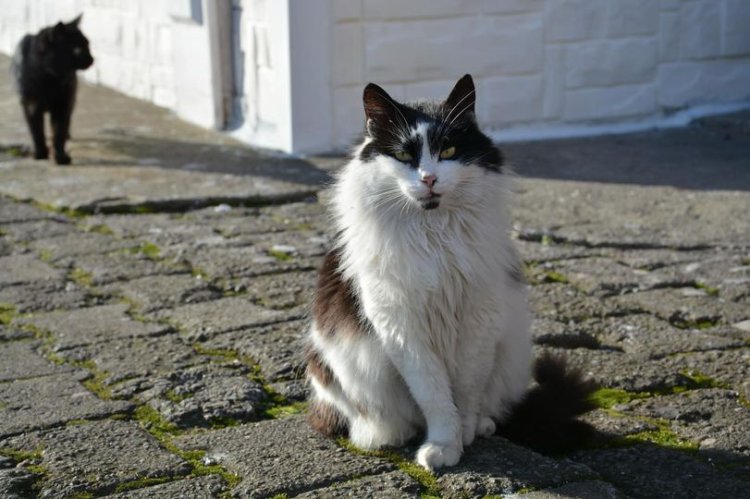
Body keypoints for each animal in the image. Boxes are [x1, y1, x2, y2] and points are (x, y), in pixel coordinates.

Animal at [10, 14, 93, 164]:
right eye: (76, 49)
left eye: (88, 45)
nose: (91, 59)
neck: (50, 79)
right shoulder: (30, 104)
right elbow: (36, 131)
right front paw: (40, 153)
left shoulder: (63, 104)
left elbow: (59, 132)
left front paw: (61, 157)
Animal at [306, 76, 600, 470]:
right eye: (404, 156)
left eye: (448, 150)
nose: (429, 178)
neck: (436, 236)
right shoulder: (402, 329)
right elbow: (434, 396)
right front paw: (445, 445)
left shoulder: (479, 321)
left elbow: (466, 391)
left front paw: (466, 434)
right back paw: (392, 435)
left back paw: (485, 426)